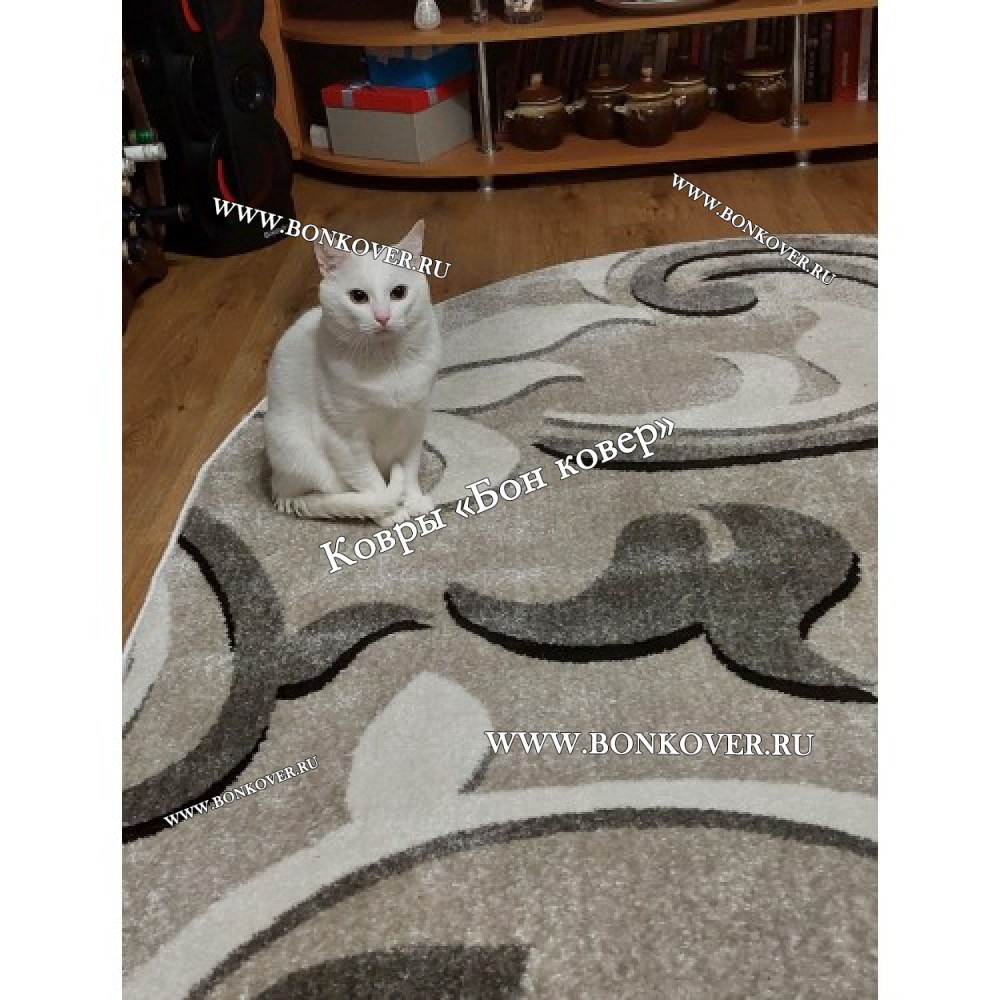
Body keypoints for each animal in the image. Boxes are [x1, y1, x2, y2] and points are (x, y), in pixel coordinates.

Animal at [264, 219, 441, 528]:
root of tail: (278, 490)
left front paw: (414, 500)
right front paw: (392, 513)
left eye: (398, 292)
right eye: (358, 296)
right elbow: (372, 481)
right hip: (294, 447)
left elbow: (409, 469)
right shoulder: (345, 440)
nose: (382, 317)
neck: (388, 365)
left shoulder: (414, 423)